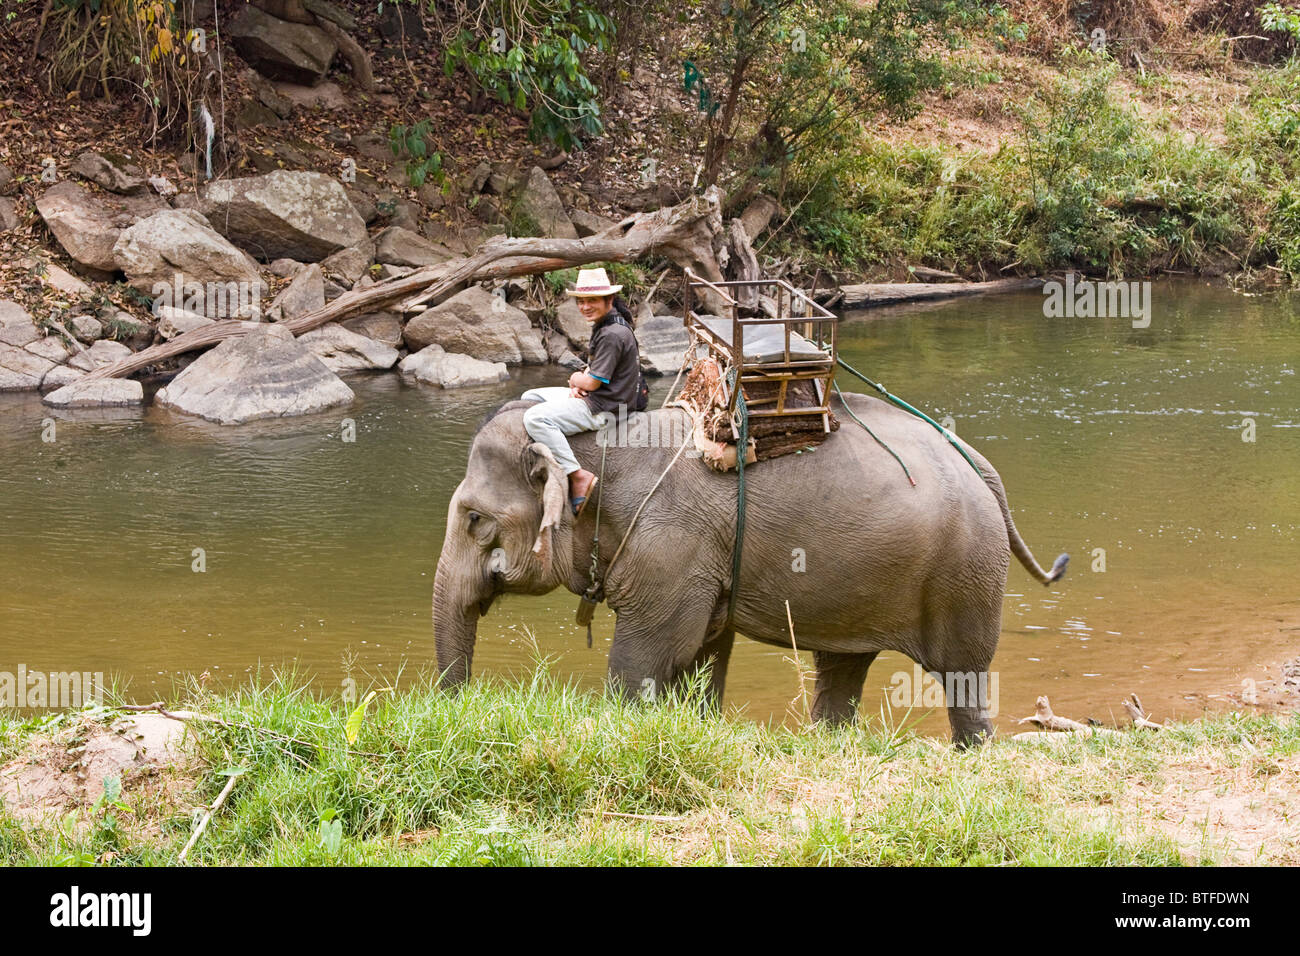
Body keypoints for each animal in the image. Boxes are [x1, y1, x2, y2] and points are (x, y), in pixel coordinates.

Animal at [436, 390, 1066, 749]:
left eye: (475, 519)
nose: (457, 709)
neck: (598, 447)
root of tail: (983, 467)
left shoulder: (672, 542)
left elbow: (653, 650)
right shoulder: (699, 556)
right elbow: (701, 649)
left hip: (965, 571)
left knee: (963, 674)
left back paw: (973, 753)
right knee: (843, 666)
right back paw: (828, 747)